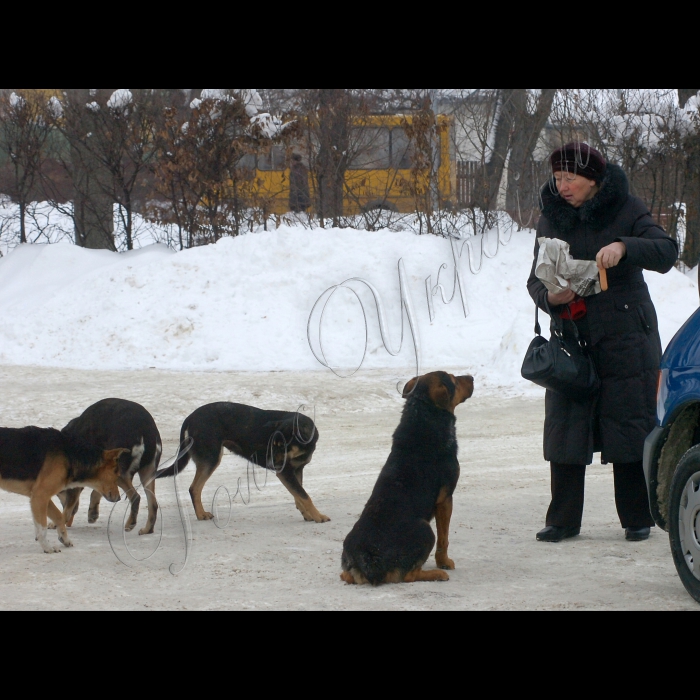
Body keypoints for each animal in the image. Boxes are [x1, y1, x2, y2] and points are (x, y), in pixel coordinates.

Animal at [60, 400, 164, 536]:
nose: (68, 522)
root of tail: (145, 430)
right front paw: (93, 512)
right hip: (148, 472)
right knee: (153, 504)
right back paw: (147, 529)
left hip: (120, 474)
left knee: (136, 497)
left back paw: (130, 523)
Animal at [156, 402, 328, 524]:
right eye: (274, 445)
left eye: (283, 446)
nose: (270, 463)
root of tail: (190, 417)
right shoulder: (285, 472)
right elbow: (304, 496)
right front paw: (319, 516)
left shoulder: (296, 470)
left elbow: (299, 495)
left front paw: (308, 515)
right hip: (211, 458)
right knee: (194, 488)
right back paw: (201, 514)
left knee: (194, 488)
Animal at [340, 370, 474, 588]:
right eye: (454, 380)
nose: (471, 377)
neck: (422, 415)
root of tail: (369, 563)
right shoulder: (445, 499)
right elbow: (444, 539)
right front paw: (444, 563)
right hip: (425, 529)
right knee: (409, 575)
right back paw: (437, 573)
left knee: (345, 575)